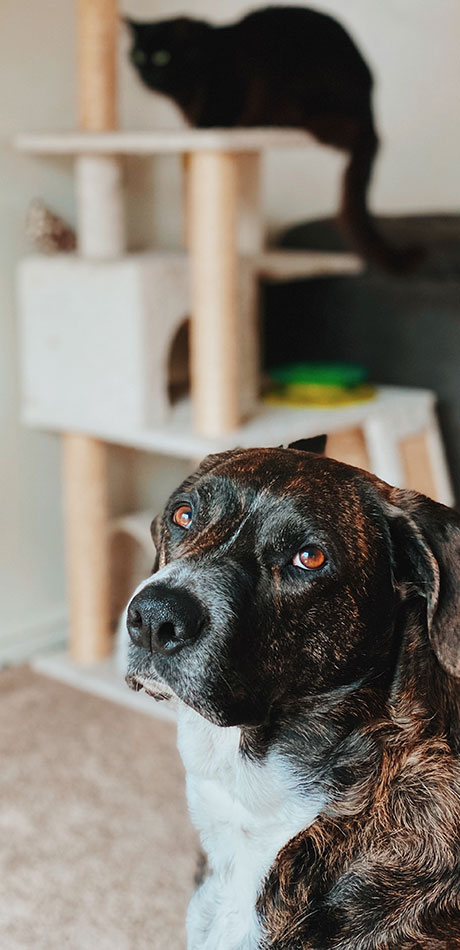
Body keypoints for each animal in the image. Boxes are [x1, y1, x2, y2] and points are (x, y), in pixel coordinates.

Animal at [125, 6, 420, 276]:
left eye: (162, 57)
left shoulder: (229, 85)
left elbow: (211, 120)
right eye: (138, 56)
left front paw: (200, 134)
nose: (146, 75)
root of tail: (370, 108)